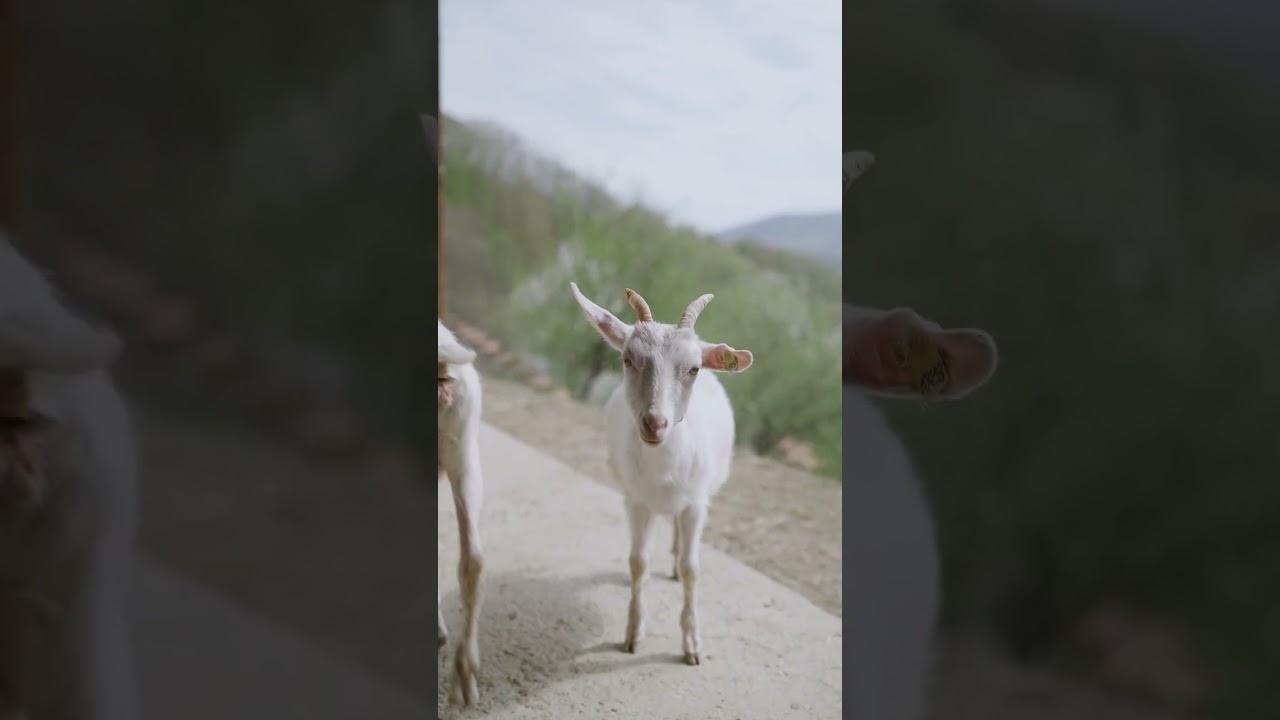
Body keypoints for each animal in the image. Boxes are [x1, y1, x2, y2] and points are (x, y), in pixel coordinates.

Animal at [569, 282, 753, 666]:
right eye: (627, 358)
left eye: (694, 368)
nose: (655, 423)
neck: (664, 468)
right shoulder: (636, 501)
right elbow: (638, 562)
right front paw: (633, 634)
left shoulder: (696, 504)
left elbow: (692, 568)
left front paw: (692, 644)